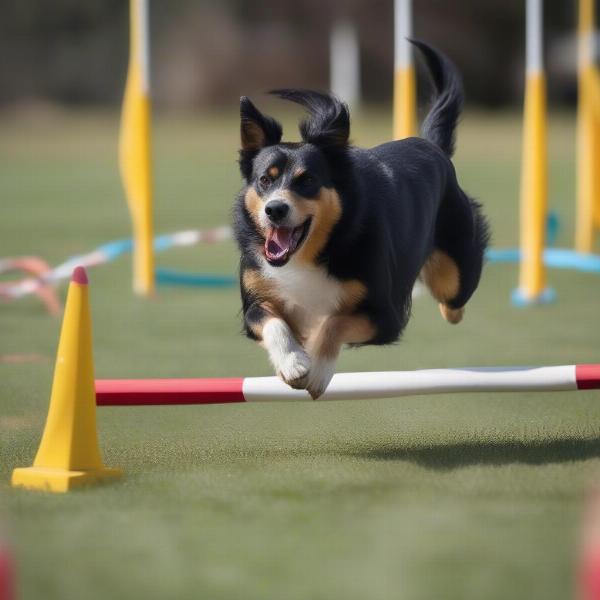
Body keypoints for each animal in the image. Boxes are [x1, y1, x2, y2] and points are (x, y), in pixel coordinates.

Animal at [232, 41, 490, 398]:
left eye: (307, 181)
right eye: (265, 180)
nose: (275, 210)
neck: (313, 252)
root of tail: (430, 145)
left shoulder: (385, 314)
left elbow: (333, 323)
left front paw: (317, 369)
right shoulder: (257, 296)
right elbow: (272, 322)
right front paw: (293, 362)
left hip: (455, 268)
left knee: (453, 300)